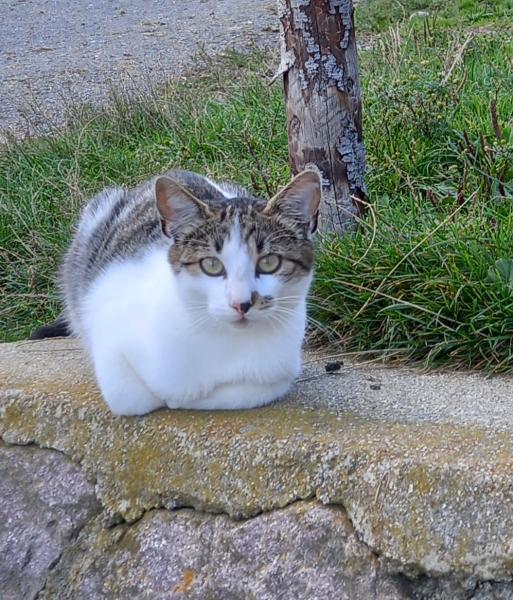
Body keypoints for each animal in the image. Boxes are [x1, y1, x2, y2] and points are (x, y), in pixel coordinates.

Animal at [32, 168, 318, 412]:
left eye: (269, 262)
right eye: (211, 265)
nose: (241, 303)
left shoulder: (280, 372)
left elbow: (241, 392)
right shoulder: (109, 332)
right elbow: (132, 396)